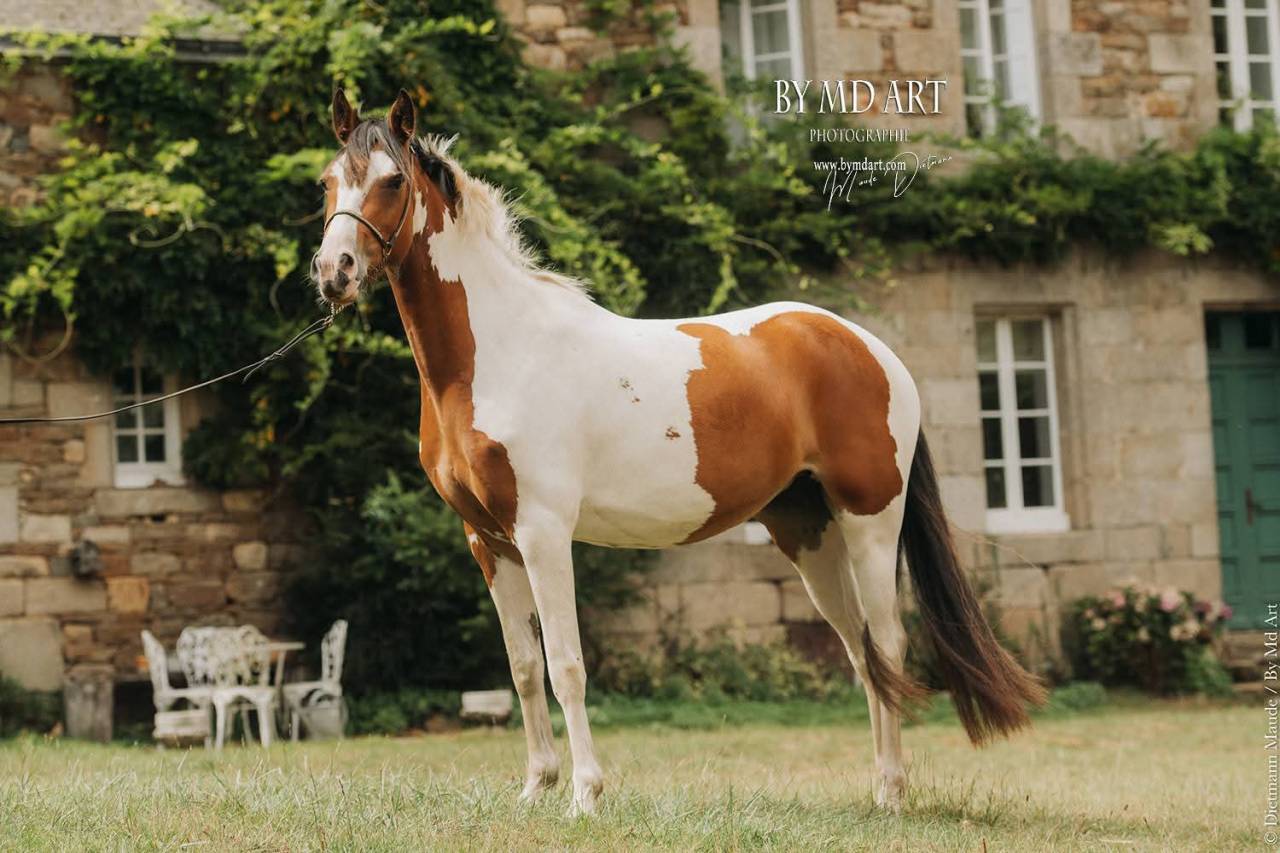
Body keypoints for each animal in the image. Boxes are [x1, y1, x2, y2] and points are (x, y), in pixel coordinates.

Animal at [311, 89, 1046, 815]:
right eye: (327, 181)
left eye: (392, 181)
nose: (333, 272)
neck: (497, 351)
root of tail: (873, 349)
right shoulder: (489, 540)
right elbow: (522, 668)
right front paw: (535, 788)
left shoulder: (544, 533)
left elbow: (566, 664)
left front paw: (585, 794)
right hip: (808, 532)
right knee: (863, 652)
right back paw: (880, 790)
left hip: (871, 524)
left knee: (888, 643)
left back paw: (893, 794)